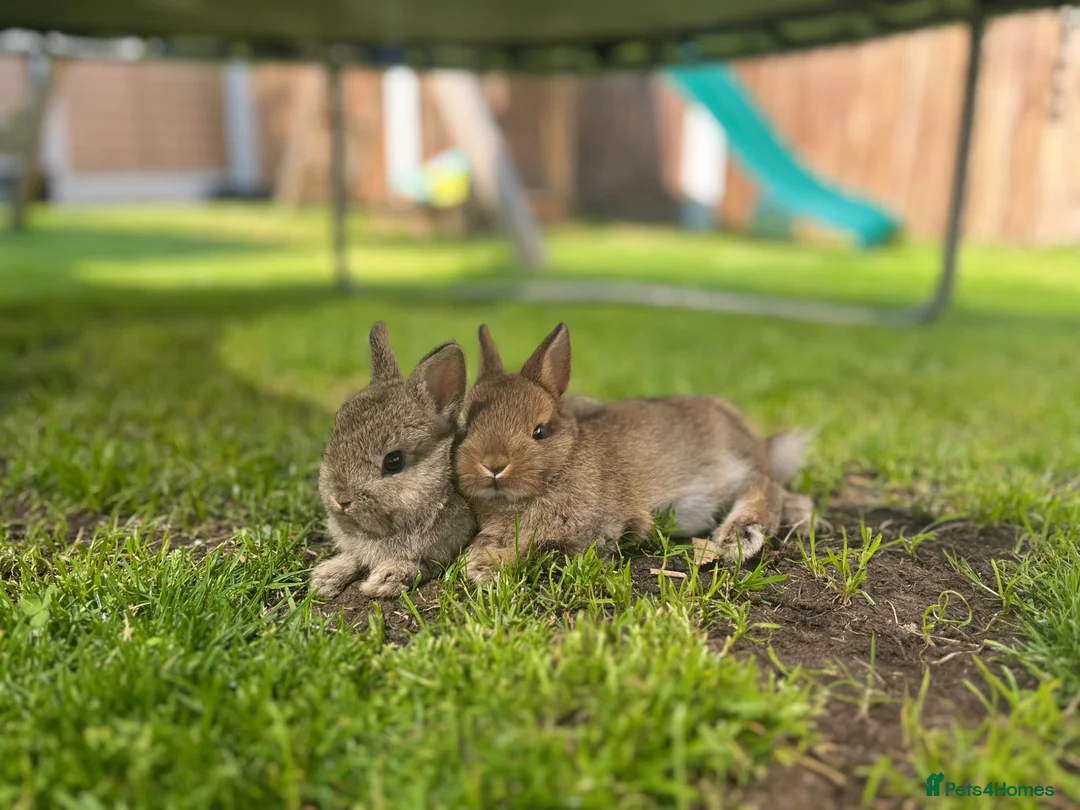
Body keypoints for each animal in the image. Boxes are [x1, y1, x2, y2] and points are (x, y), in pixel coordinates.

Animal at [311, 322, 477, 599]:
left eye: (394, 461)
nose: (341, 500)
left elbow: (420, 564)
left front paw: (384, 580)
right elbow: (355, 557)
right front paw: (325, 577)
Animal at [453, 322, 816, 583]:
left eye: (539, 431)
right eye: (465, 426)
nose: (493, 465)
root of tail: (758, 441)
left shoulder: (591, 531)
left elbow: (535, 547)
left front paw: (482, 568)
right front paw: (476, 559)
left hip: (727, 470)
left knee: (765, 487)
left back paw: (741, 534)